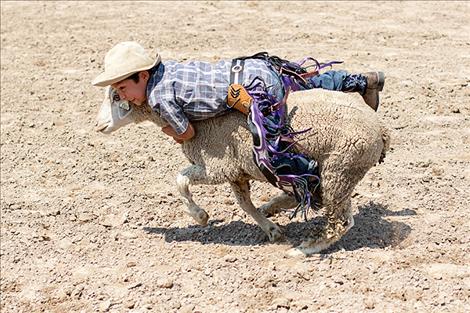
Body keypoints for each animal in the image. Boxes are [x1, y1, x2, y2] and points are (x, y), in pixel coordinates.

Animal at [94, 84, 390, 255]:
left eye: (117, 95)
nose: (98, 126)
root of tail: (381, 127)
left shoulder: (217, 167)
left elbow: (180, 180)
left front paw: (200, 216)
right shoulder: (236, 172)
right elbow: (244, 204)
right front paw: (271, 229)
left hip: (340, 169)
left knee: (341, 221)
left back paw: (306, 248)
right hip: (338, 172)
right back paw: (277, 205)